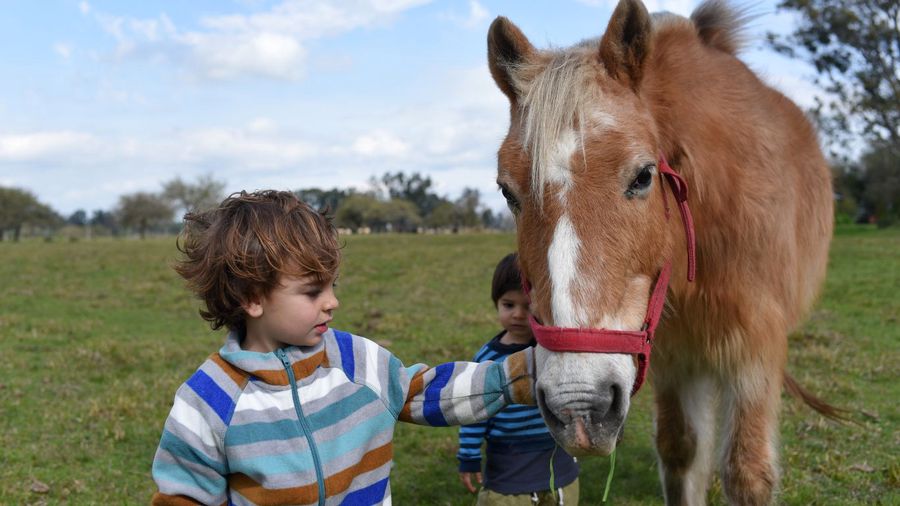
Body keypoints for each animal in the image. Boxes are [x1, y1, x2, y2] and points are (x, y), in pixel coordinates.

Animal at [486, 0, 835, 504]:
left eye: (643, 176)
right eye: (507, 191)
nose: (579, 404)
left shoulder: (756, 348)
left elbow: (747, 472)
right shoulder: (670, 354)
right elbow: (680, 452)